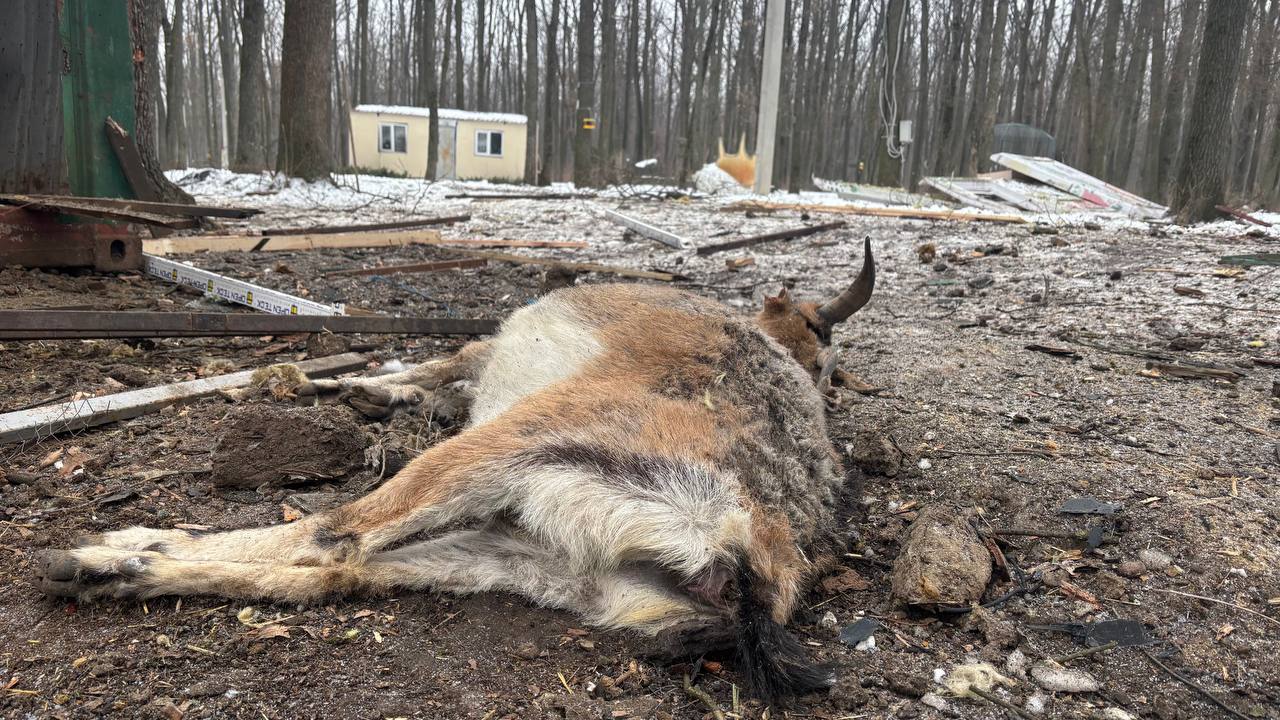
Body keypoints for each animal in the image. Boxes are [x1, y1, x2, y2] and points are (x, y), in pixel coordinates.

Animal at [37, 238, 880, 696]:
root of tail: (746, 546)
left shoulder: (483, 364)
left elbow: (440, 361)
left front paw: (325, 384)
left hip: (510, 448)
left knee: (334, 534)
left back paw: (106, 552)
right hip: (539, 559)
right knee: (346, 569)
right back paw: (115, 574)